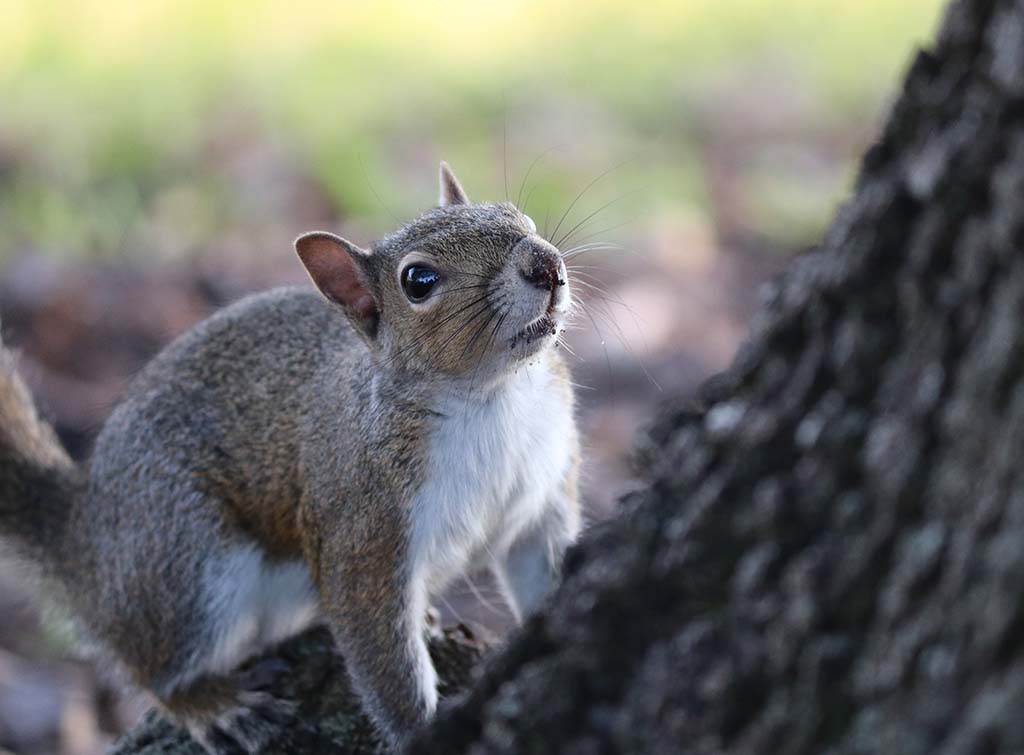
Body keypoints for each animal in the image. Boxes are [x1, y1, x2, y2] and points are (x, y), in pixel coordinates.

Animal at [0, 161, 581, 749]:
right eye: (419, 281)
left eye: (517, 216)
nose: (545, 263)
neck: (495, 399)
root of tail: (81, 540)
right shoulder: (363, 529)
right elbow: (381, 652)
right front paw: (422, 732)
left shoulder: (541, 497)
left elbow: (545, 571)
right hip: (183, 559)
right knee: (154, 669)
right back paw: (215, 706)